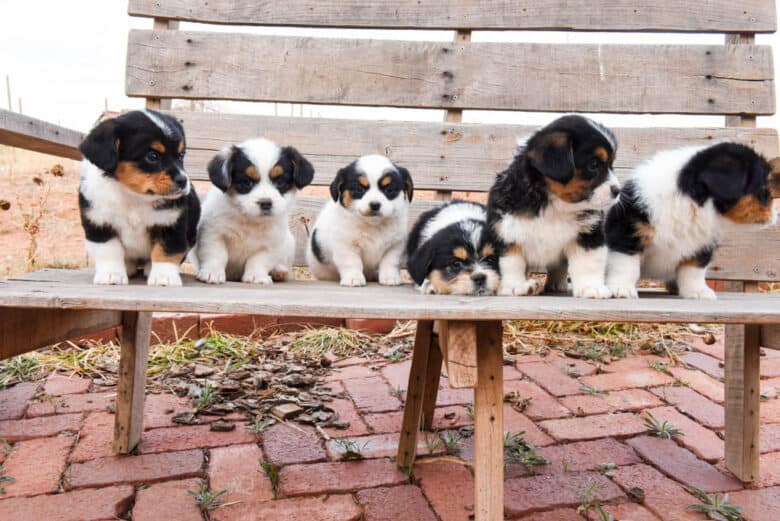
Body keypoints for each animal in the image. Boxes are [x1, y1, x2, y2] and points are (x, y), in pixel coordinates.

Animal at [78, 109, 200, 286]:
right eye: (152, 156)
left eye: (181, 155)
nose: (183, 181)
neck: (134, 197)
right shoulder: (99, 224)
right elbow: (109, 252)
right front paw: (111, 275)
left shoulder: (171, 224)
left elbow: (166, 252)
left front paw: (164, 277)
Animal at [194, 138, 314, 284]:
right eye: (246, 182)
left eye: (280, 182)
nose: (266, 203)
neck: (249, 220)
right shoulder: (214, 234)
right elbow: (217, 254)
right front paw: (213, 273)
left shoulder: (270, 244)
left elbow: (258, 260)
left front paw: (256, 277)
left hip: (289, 244)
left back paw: (279, 271)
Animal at [306, 155, 412, 284]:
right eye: (359, 189)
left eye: (390, 190)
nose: (375, 204)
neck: (373, 225)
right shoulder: (346, 246)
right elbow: (352, 263)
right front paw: (353, 278)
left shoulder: (395, 246)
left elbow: (390, 262)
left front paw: (390, 277)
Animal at [488, 116, 620, 298]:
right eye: (593, 165)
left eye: (611, 164)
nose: (618, 191)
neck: (555, 204)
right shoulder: (507, 231)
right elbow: (512, 263)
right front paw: (515, 287)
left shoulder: (588, 234)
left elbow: (588, 264)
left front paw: (591, 287)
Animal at [608, 141, 780, 296]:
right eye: (763, 190)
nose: (776, 215)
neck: (691, 202)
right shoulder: (626, 234)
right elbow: (626, 265)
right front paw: (622, 288)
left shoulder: (702, 246)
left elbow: (693, 271)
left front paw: (697, 291)